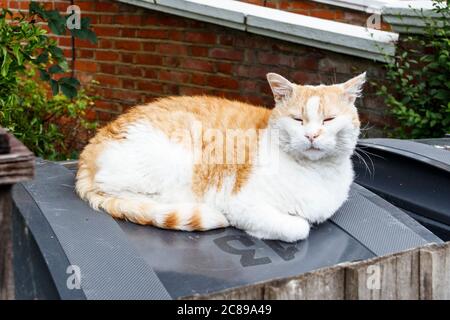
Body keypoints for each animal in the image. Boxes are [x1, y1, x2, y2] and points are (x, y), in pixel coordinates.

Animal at [76, 72, 366, 242]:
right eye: (298, 119)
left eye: (328, 120)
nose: (311, 135)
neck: (314, 173)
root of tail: (93, 143)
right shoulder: (243, 205)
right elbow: (299, 228)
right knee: (122, 194)